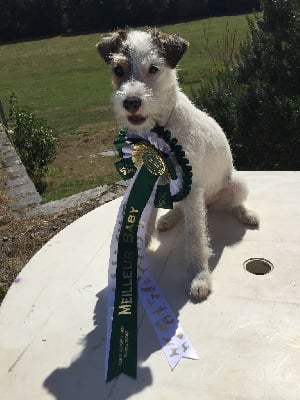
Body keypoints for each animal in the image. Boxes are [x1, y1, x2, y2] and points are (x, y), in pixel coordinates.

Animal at [97, 28, 258, 302]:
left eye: (153, 68)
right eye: (118, 69)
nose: (131, 102)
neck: (161, 128)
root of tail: (209, 202)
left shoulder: (191, 186)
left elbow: (195, 237)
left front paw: (199, 278)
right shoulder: (148, 179)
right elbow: (143, 222)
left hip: (235, 183)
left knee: (232, 204)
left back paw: (246, 214)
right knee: (181, 209)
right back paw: (169, 218)